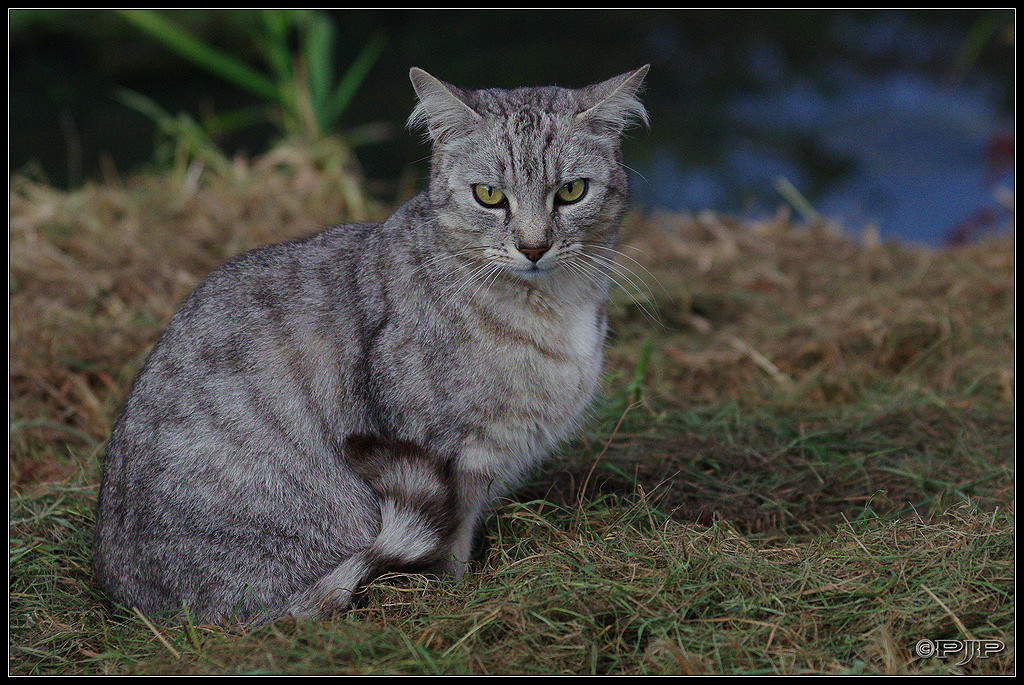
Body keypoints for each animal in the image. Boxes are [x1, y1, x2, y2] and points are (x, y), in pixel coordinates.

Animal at [90, 65, 647, 626]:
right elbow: (450, 543)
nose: (533, 247)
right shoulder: (443, 450)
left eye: (571, 191)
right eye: (489, 195)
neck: (553, 307)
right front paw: (458, 597)